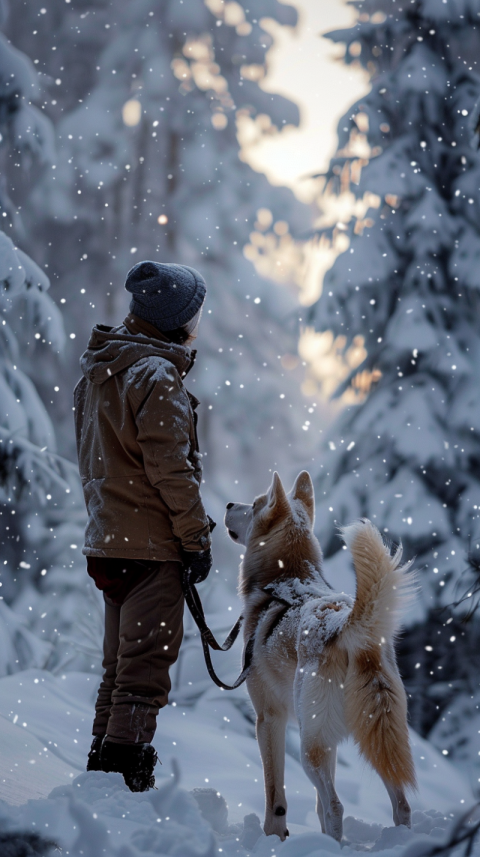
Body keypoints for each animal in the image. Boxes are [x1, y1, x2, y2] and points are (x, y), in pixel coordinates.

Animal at [225, 472, 416, 840]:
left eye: (255, 504)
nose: (227, 504)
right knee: (401, 806)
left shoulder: (269, 719)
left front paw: (273, 837)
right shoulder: (328, 741)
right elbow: (314, 807)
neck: (289, 577)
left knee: (336, 806)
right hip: (377, 735)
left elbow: (275, 796)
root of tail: (346, 627)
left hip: (307, 747)